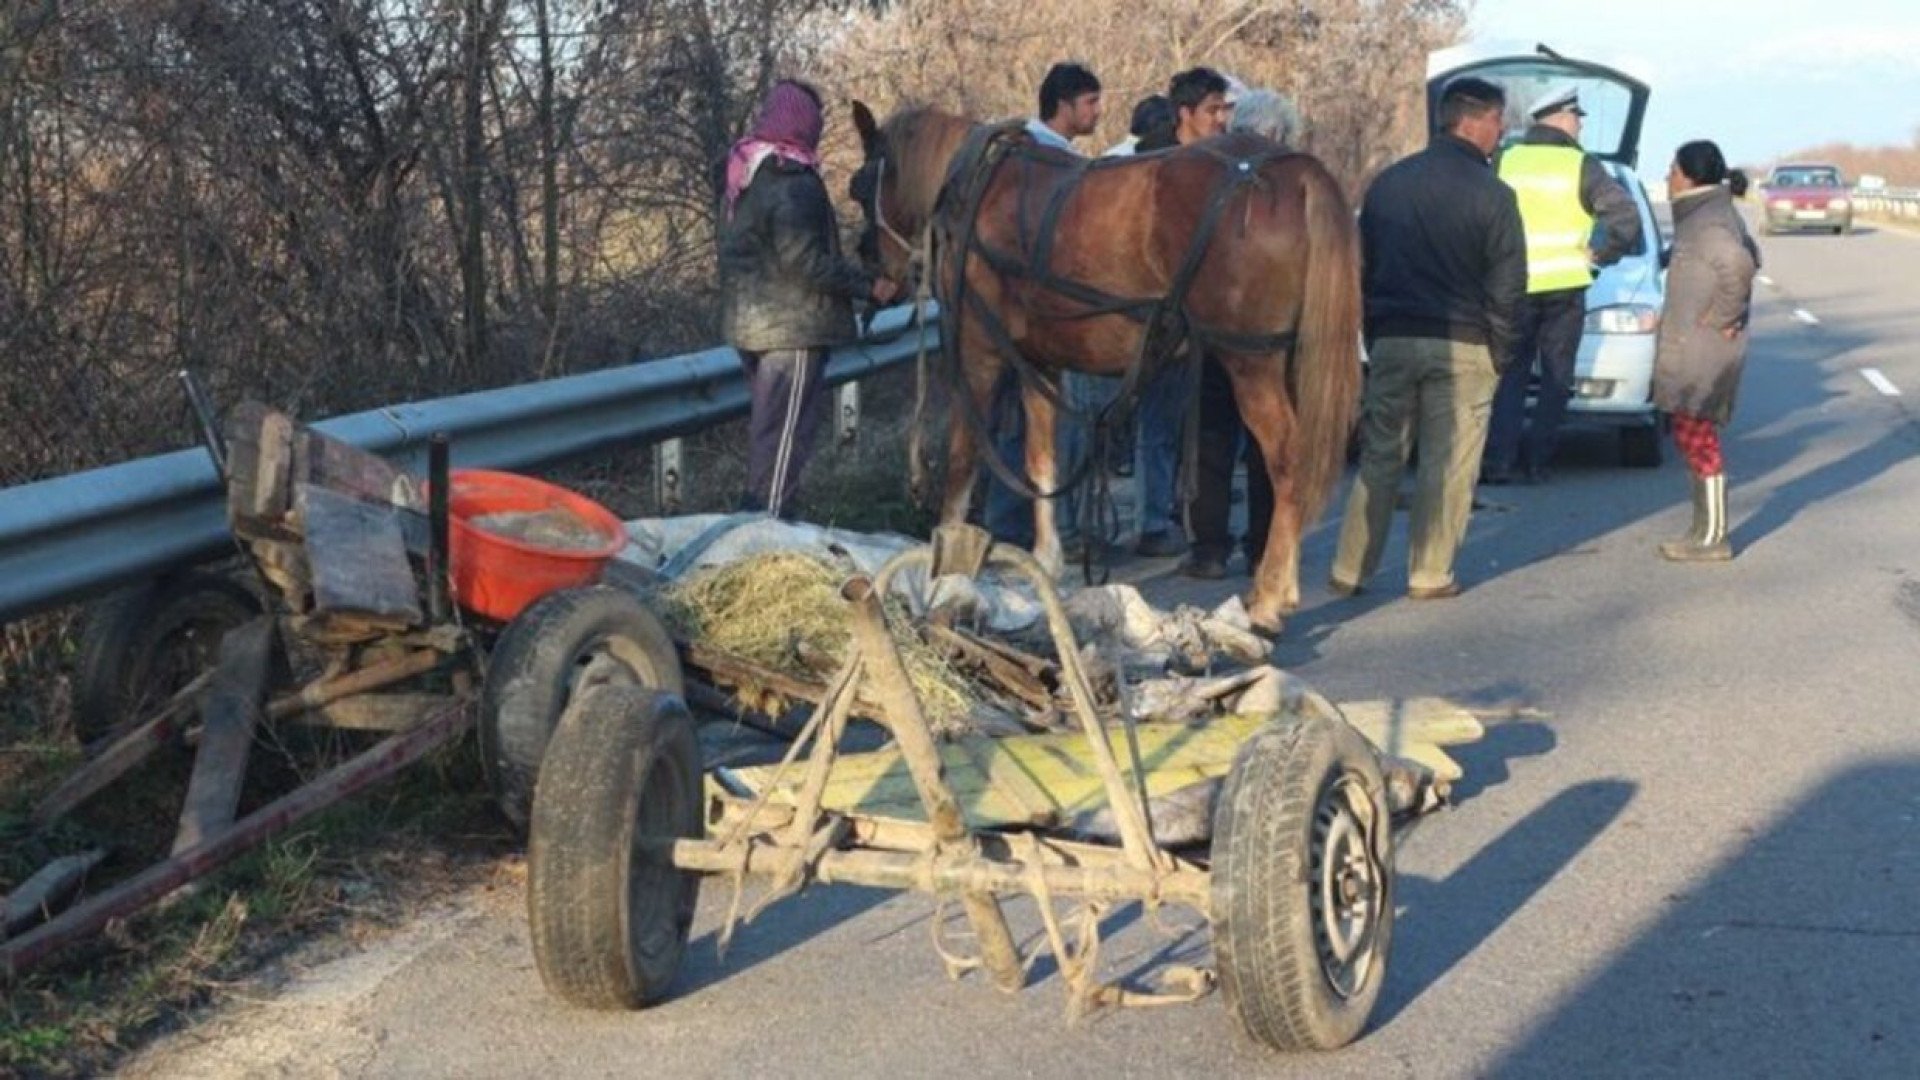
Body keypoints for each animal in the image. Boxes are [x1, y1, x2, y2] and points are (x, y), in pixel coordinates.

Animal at [856, 101, 1367, 634]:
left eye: (860, 184)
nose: (874, 268)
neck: (978, 190)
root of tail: (1294, 171)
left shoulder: (980, 356)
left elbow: (961, 461)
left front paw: (945, 571)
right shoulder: (1038, 362)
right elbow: (1041, 461)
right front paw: (1047, 562)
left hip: (1251, 362)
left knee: (1287, 459)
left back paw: (1268, 600)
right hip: (1286, 358)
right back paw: (1278, 588)